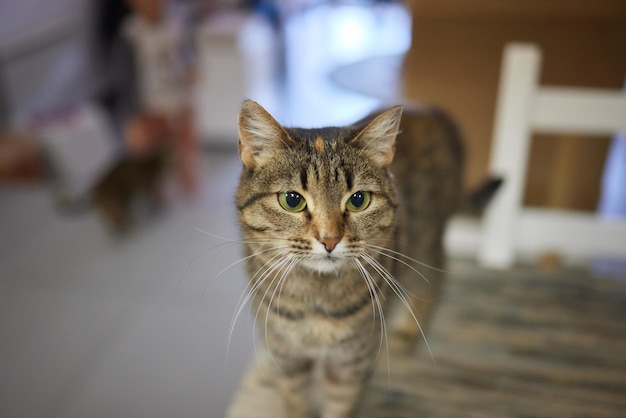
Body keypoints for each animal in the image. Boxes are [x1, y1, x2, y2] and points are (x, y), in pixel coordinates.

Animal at [229, 99, 468, 416]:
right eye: (292, 200)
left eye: (358, 200)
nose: (329, 239)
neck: (316, 298)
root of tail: (433, 110)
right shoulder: (288, 357)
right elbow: (297, 402)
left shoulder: (352, 363)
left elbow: (341, 407)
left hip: (424, 246)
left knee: (437, 276)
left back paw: (408, 331)